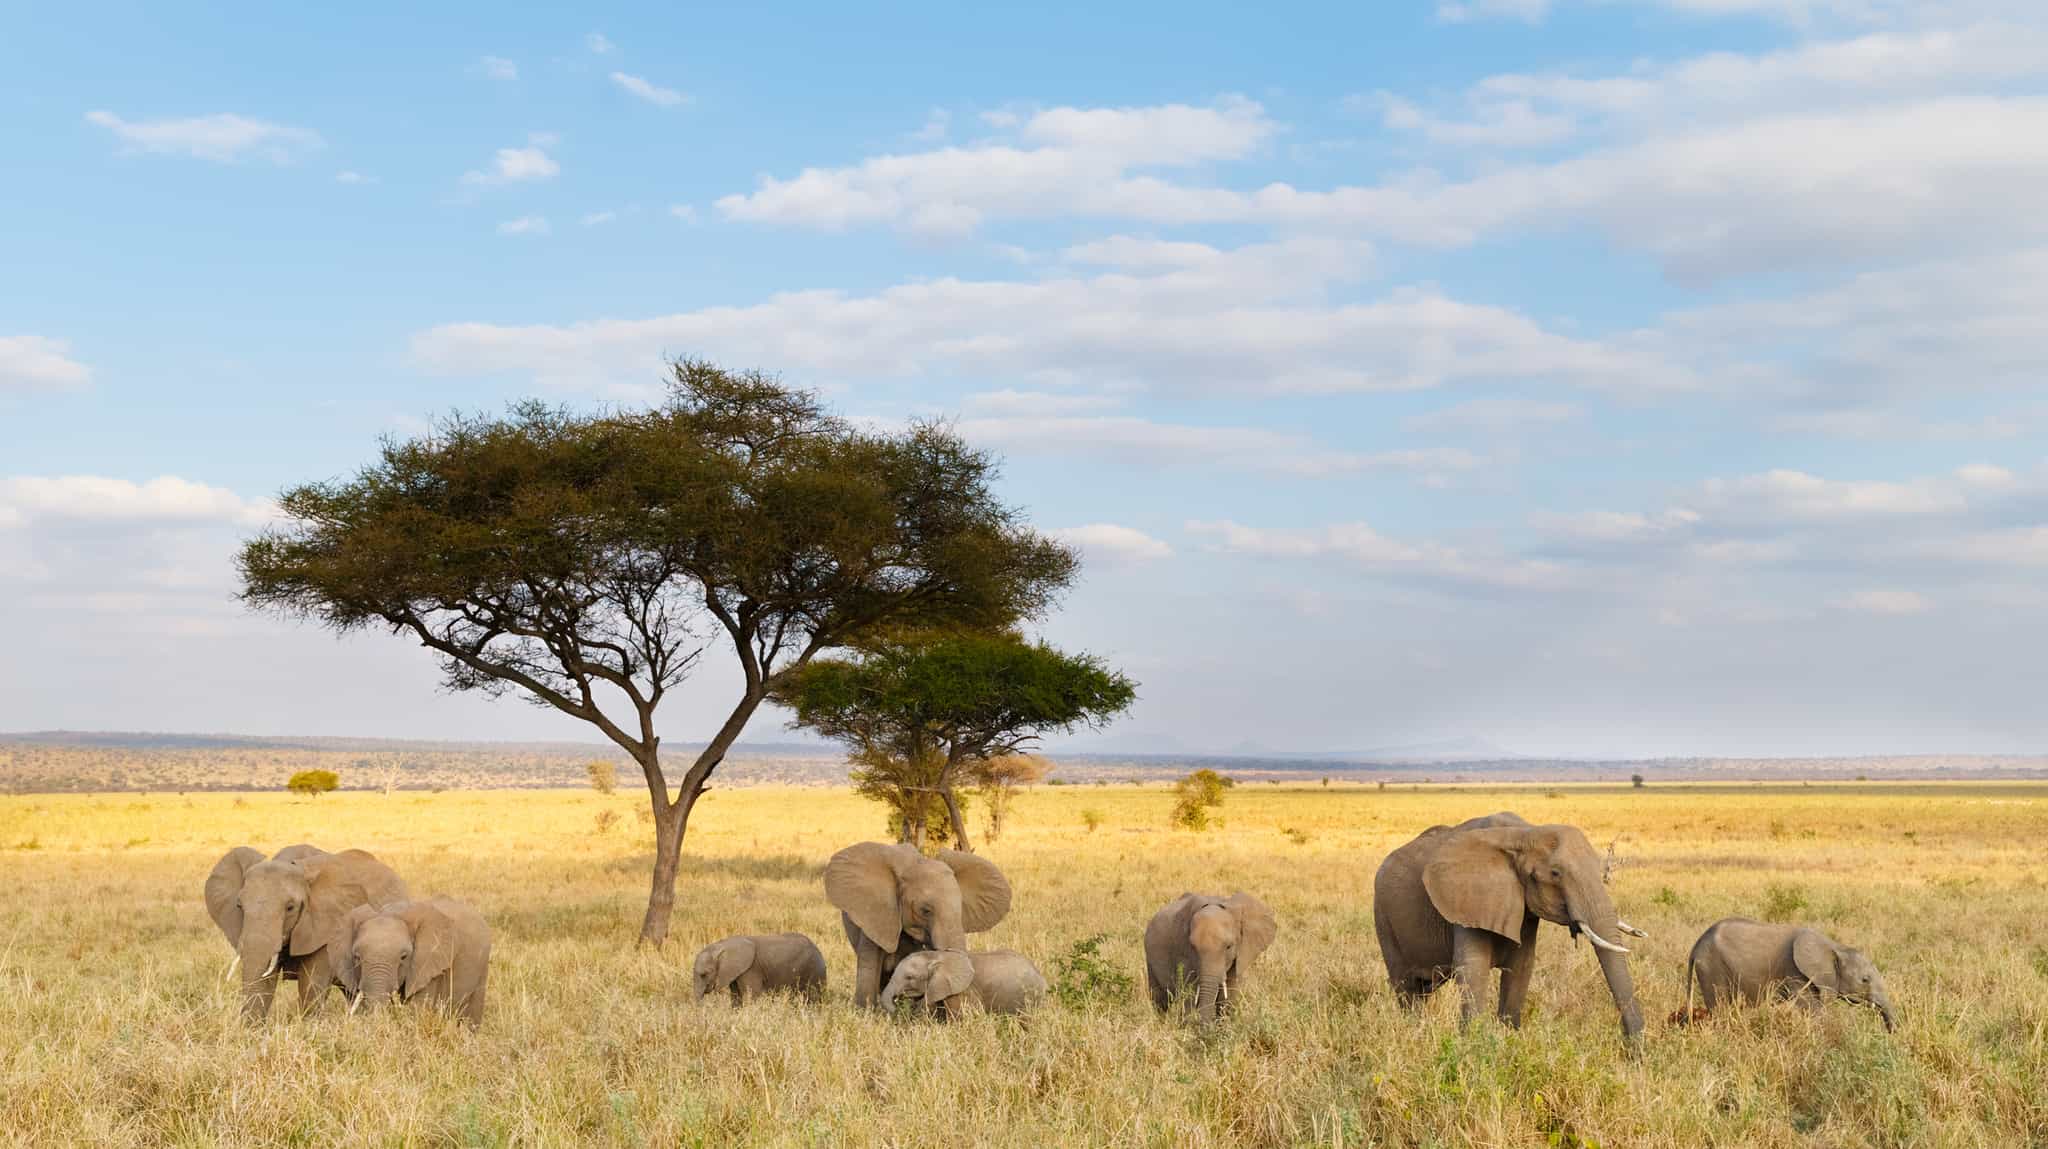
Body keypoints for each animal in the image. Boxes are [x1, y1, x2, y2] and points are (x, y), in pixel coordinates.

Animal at [691, 932, 828, 1005]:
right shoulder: (735, 972)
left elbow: (752, 996)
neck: (721, 945)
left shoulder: (751, 969)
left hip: (815, 969)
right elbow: (736, 997)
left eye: (704, 974)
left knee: (813, 997)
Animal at [1143, 891, 1278, 1024]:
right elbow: (1189, 993)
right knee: (1160, 999)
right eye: (1193, 947)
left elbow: (1229, 994)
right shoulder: (1182, 950)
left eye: (1229, 947)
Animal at [1373, 812, 1647, 1041]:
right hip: (1383, 919)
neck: (1524, 834)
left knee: (1424, 989)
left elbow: (1521, 968)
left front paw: (1508, 1040)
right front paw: (1474, 1047)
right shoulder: (1469, 897)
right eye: (1556, 873)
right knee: (1406, 988)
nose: (1632, 1049)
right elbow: (1473, 969)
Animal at [1684, 918, 1896, 1031]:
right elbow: (1813, 1009)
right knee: (1720, 1007)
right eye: (1865, 980)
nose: (1890, 1033)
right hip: (1712, 967)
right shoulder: (1796, 973)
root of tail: (1696, 945)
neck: (1834, 947)